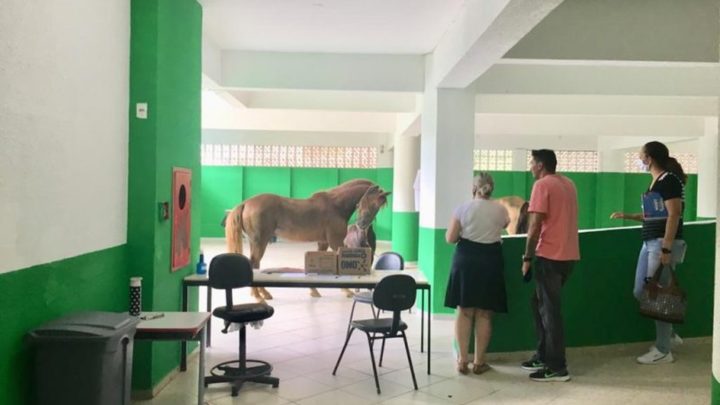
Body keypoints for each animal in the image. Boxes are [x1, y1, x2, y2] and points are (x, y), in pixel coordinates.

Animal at [225, 178, 382, 298]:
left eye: (379, 206)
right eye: (369, 200)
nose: (362, 224)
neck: (336, 206)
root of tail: (246, 203)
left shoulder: (323, 242)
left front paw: (314, 290)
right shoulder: (335, 242)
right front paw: (347, 290)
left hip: (255, 242)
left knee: (255, 264)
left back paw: (262, 293)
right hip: (260, 242)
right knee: (254, 263)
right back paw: (259, 296)